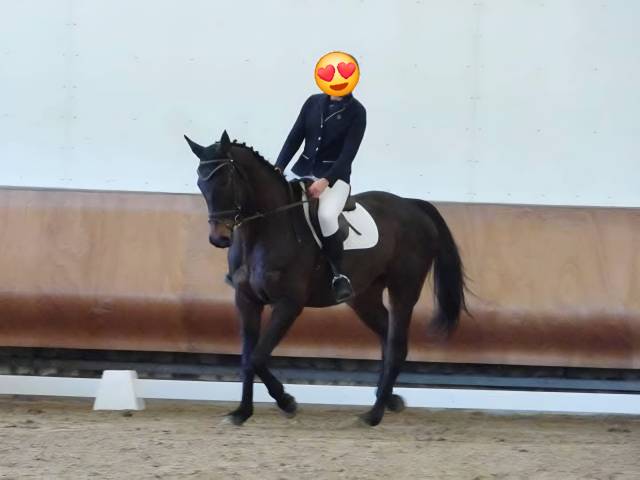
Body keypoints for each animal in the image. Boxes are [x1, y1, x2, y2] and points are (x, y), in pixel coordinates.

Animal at [185, 130, 467, 426]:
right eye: (200, 182)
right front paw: (241, 412)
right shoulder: (246, 300)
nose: (219, 238)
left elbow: (258, 358)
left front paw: (286, 401)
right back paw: (388, 398)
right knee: (387, 337)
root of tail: (412, 205)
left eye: (226, 180)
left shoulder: (288, 304)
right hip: (364, 297)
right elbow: (247, 358)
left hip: (404, 289)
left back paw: (374, 414)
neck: (264, 231)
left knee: (397, 345)